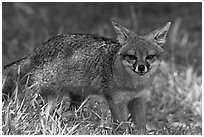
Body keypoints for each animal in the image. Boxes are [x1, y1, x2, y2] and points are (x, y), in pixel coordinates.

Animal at [2, 21, 171, 130]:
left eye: (150, 57)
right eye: (132, 57)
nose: (141, 68)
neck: (134, 85)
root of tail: (35, 52)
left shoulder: (137, 99)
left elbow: (141, 127)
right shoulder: (115, 101)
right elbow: (122, 127)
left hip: (77, 99)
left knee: (64, 114)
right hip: (49, 97)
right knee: (39, 112)